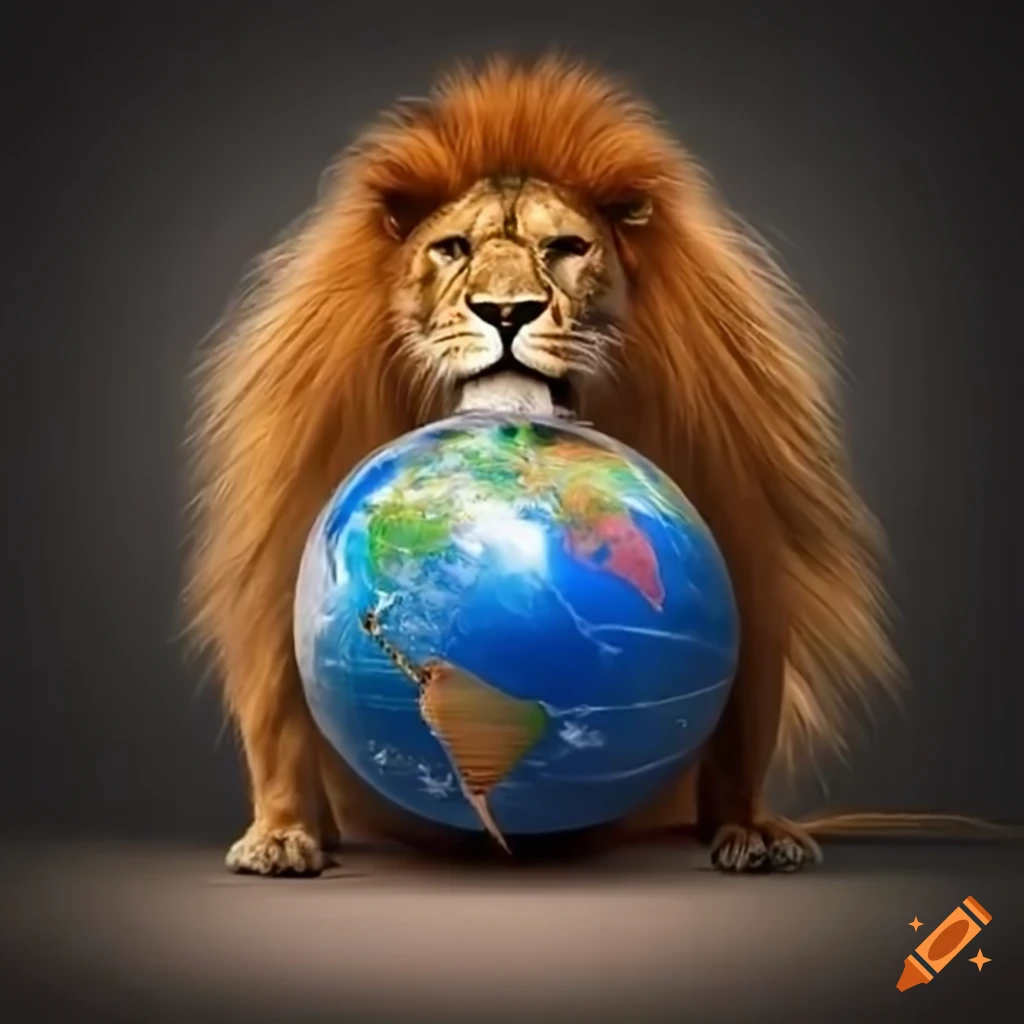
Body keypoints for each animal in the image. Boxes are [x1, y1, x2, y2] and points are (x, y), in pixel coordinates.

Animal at [184, 55, 989, 878]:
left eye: (568, 247)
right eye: (453, 249)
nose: (507, 313)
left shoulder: (740, 522)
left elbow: (747, 708)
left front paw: (752, 829)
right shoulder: (292, 529)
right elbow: (278, 704)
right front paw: (283, 834)